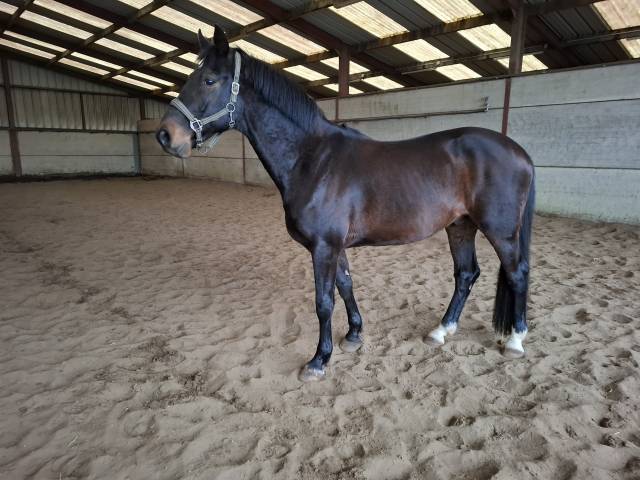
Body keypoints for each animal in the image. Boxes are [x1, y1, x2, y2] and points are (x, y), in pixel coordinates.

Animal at [156, 26, 535, 382]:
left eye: (209, 80)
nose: (165, 136)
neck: (312, 158)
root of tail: (519, 152)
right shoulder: (334, 246)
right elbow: (346, 285)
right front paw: (354, 335)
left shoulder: (323, 246)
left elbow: (324, 302)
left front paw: (318, 361)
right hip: (460, 225)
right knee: (466, 274)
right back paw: (442, 331)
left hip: (500, 231)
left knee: (516, 272)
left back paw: (516, 341)